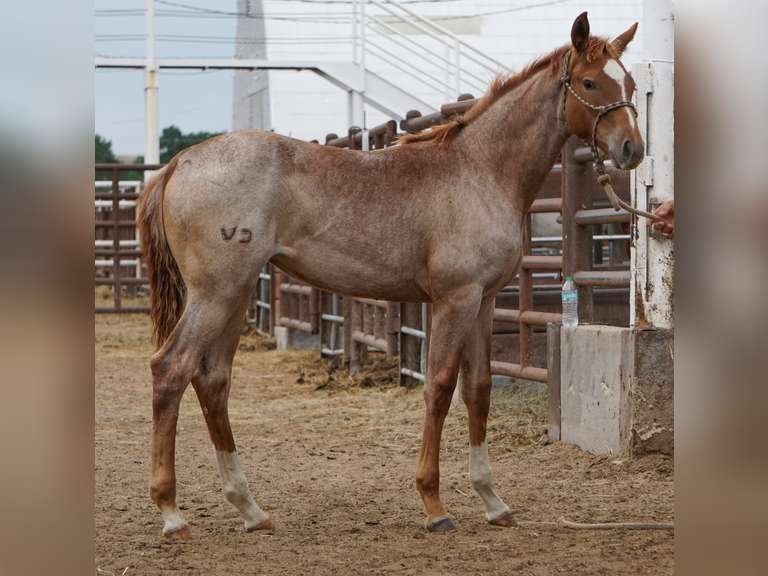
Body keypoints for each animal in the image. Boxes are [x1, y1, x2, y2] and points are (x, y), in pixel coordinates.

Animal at [137, 11, 643, 538]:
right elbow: (439, 387)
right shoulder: (455, 300)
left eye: (629, 82)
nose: (632, 148)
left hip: (234, 295)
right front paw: (434, 505)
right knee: (171, 369)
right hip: (214, 294)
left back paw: (249, 509)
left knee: (213, 378)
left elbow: (478, 387)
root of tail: (178, 164)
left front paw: (492, 500)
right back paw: (171, 513)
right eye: (589, 82)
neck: (479, 170)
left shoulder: (483, 302)